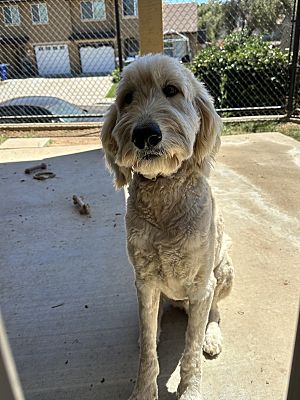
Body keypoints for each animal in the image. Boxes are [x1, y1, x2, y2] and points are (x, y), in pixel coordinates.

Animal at [101, 54, 234, 400]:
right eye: (127, 98)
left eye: (171, 90)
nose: (145, 134)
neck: (165, 193)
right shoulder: (145, 282)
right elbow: (149, 350)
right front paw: (144, 390)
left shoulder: (201, 286)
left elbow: (190, 352)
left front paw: (190, 390)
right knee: (155, 317)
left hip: (224, 272)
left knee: (215, 311)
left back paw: (211, 336)